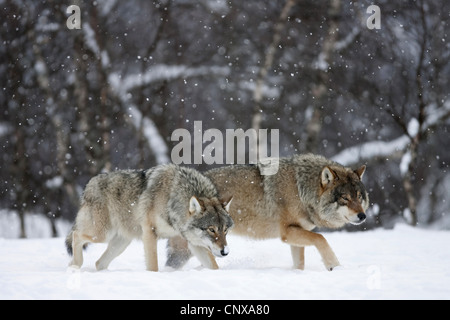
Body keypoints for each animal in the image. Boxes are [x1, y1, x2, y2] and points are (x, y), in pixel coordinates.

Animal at [65, 164, 234, 272]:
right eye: (211, 229)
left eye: (225, 230)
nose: (225, 252)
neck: (172, 197)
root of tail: (89, 185)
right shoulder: (149, 232)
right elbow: (153, 265)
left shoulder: (193, 242)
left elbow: (214, 266)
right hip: (102, 234)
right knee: (76, 235)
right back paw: (74, 265)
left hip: (121, 243)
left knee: (99, 263)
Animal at [165, 154, 370, 272]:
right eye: (345, 198)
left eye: (359, 197)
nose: (362, 216)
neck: (301, 189)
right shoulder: (288, 232)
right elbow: (321, 239)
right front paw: (334, 266)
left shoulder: (296, 235)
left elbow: (300, 264)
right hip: (189, 250)